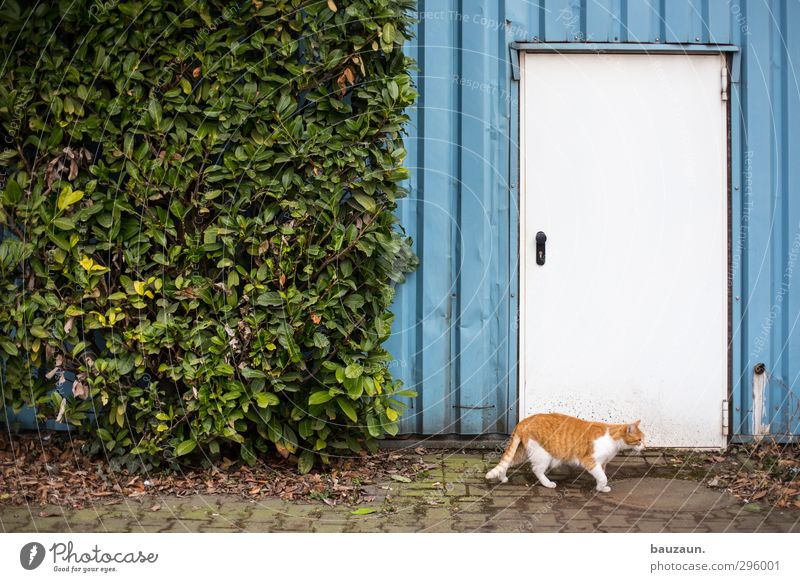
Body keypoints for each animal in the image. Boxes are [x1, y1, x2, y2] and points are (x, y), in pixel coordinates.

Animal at [484, 412, 648, 496]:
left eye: (644, 439)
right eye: (639, 440)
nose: (645, 447)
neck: (613, 440)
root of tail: (523, 421)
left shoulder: (602, 463)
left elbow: (602, 477)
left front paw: (601, 488)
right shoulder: (590, 461)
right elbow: (603, 477)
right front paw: (601, 487)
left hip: (523, 452)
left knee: (506, 462)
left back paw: (502, 478)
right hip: (543, 455)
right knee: (537, 470)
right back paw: (548, 483)